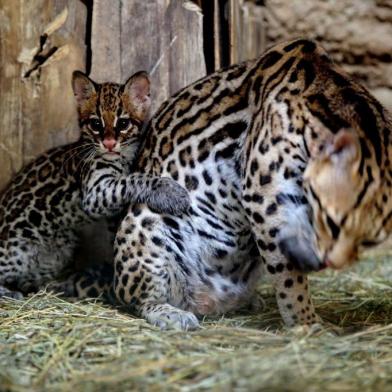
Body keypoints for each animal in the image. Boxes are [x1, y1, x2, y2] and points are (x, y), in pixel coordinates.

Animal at [0, 70, 190, 298]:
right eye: (96, 124)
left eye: (123, 124)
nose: (108, 144)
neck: (121, 158)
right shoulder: (95, 192)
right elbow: (132, 179)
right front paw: (170, 192)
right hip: (17, 245)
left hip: (60, 249)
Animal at [101, 38, 386, 330]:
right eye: (331, 221)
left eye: (369, 242)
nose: (330, 263)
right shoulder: (265, 199)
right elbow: (289, 276)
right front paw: (305, 321)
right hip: (146, 222)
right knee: (138, 297)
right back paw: (170, 313)